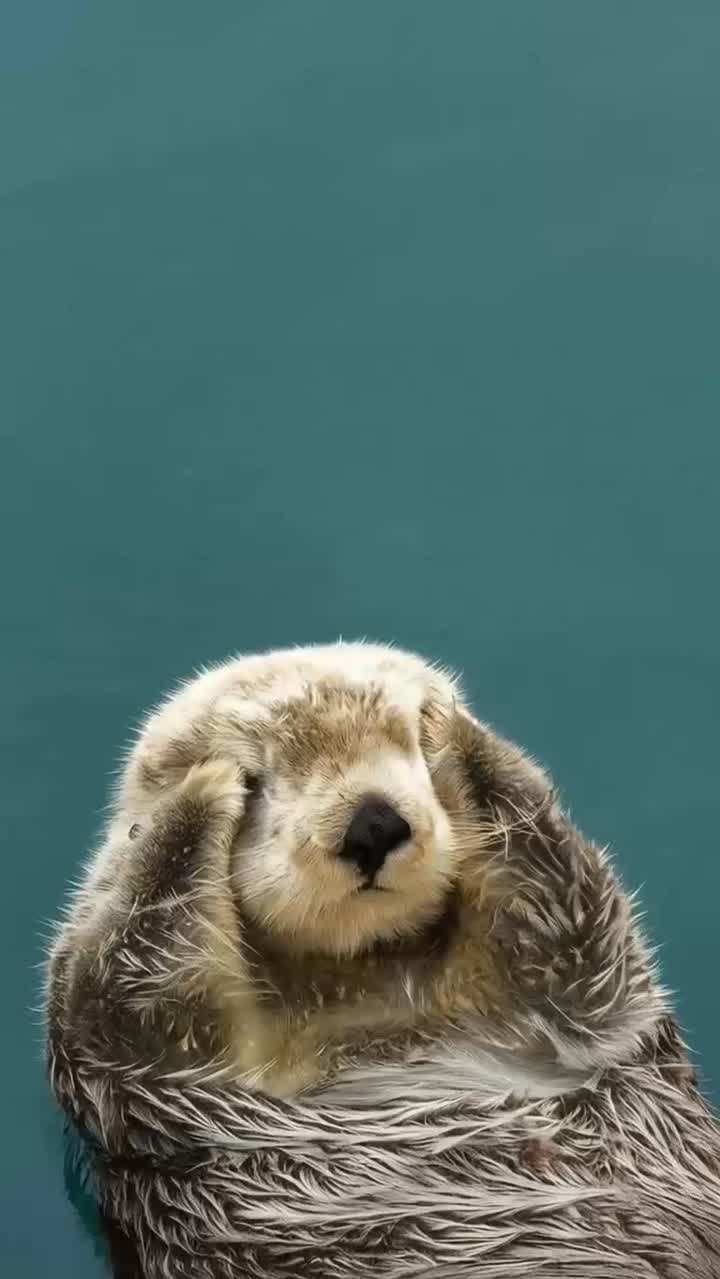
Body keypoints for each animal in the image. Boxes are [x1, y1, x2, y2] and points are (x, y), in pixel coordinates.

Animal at [45, 642, 720, 1277]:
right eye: (262, 779)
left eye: (407, 749)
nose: (373, 824)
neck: (361, 987)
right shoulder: (148, 1073)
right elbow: (133, 987)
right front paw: (200, 792)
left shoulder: (576, 1016)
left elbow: (575, 941)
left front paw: (453, 729)